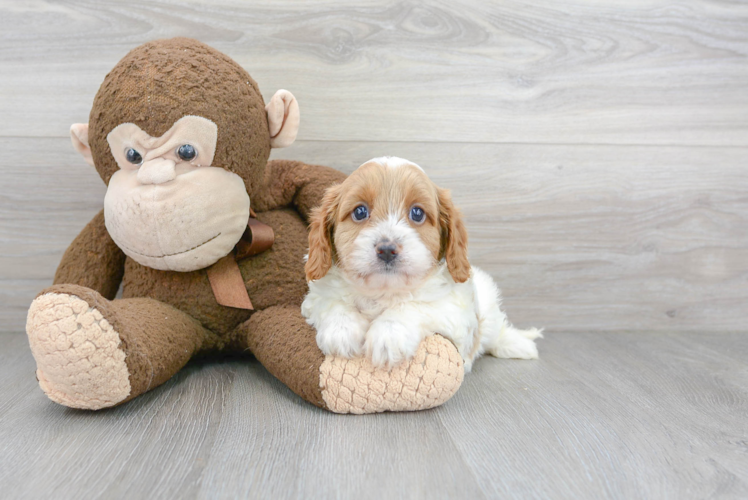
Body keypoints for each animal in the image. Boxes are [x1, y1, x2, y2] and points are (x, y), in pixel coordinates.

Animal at [300, 157, 540, 372]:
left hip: (487, 303)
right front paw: (341, 330)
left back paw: (519, 345)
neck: (383, 292)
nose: (387, 249)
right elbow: (332, 302)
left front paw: (388, 335)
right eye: (360, 212)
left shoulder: (453, 310)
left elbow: (414, 306)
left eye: (417, 213)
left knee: (496, 332)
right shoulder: (316, 298)